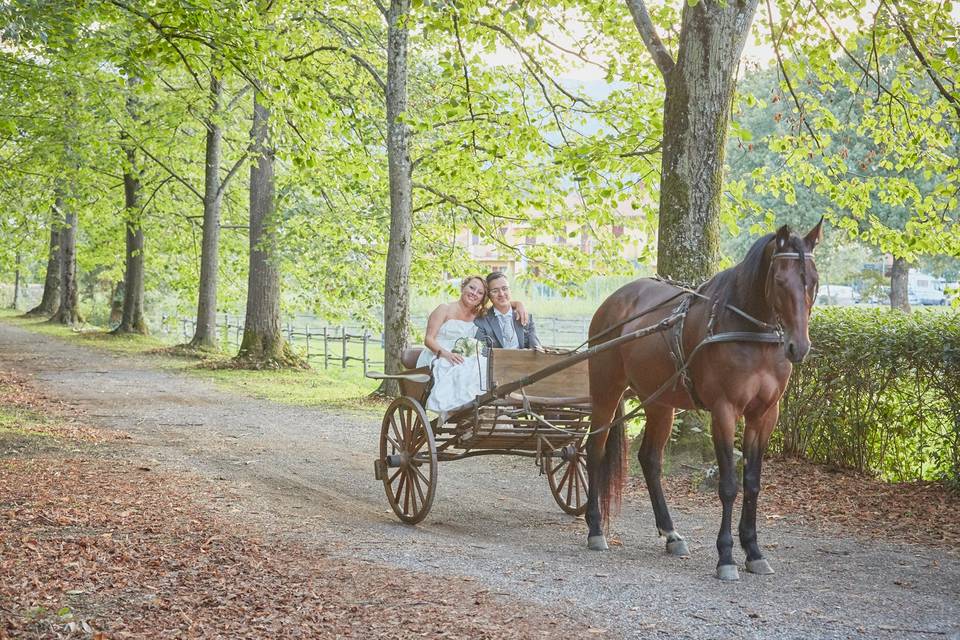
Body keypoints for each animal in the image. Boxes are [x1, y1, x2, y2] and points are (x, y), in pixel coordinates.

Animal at [584, 222, 824, 584]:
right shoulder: (724, 411)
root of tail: (614, 302)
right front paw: (726, 555)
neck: (751, 334)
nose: (800, 346)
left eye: (813, 280)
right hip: (605, 393)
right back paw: (595, 528)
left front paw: (754, 551)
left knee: (650, 460)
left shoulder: (765, 415)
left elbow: (752, 483)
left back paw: (670, 534)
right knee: (594, 453)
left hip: (659, 402)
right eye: (781, 280)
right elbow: (729, 485)